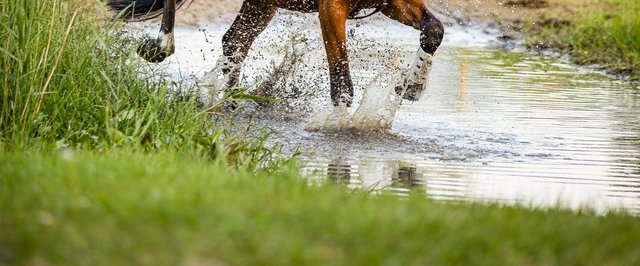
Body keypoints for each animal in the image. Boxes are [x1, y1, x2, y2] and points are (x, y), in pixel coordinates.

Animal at [107, 0, 442, 107]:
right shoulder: (331, 8)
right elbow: (342, 84)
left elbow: (434, 30)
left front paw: (412, 86)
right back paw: (160, 47)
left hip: (261, 4)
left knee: (235, 42)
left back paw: (225, 99)